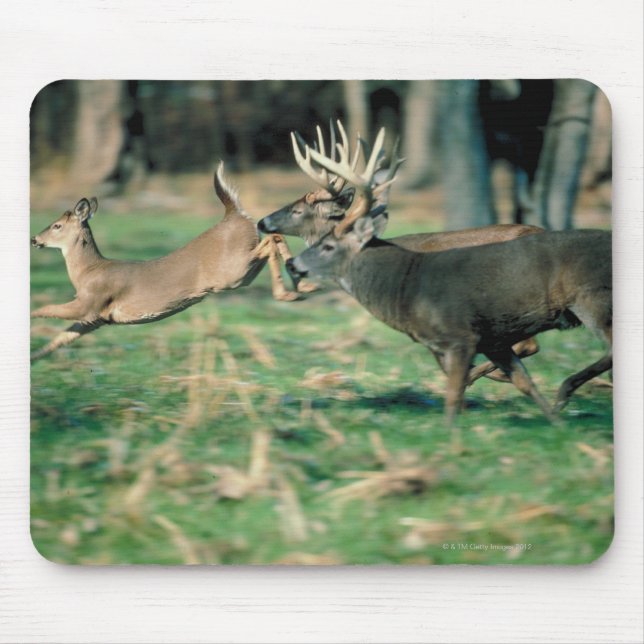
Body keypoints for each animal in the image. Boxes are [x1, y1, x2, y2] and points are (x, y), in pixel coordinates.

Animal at [30, 162, 302, 362]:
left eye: (57, 225)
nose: (34, 239)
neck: (87, 271)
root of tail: (234, 214)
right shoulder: (97, 318)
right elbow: (60, 339)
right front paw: (34, 359)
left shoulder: (91, 302)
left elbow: (47, 309)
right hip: (240, 272)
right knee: (273, 239)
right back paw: (298, 285)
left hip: (233, 271)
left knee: (271, 240)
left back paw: (292, 290)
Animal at [285, 128, 612, 431]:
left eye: (298, 211)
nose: (291, 263)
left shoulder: (456, 331)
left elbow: (453, 381)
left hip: (586, 302)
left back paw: (559, 389)